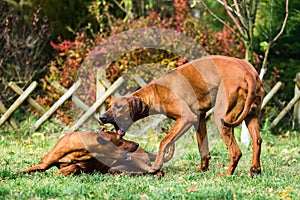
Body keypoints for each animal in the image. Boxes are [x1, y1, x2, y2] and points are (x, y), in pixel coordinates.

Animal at [19, 128, 173, 175]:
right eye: (120, 138)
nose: (137, 143)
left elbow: (75, 167)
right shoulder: (43, 165)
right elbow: (22, 171)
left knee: (156, 171)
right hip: (115, 168)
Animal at [99, 55, 264, 176]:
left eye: (118, 107)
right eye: (109, 106)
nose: (101, 118)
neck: (155, 92)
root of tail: (248, 72)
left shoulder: (187, 118)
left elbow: (164, 141)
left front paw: (156, 165)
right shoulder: (199, 118)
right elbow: (202, 147)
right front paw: (203, 169)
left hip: (221, 117)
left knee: (235, 151)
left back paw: (227, 174)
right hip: (251, 115)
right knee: (257, 140)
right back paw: (255, 169)